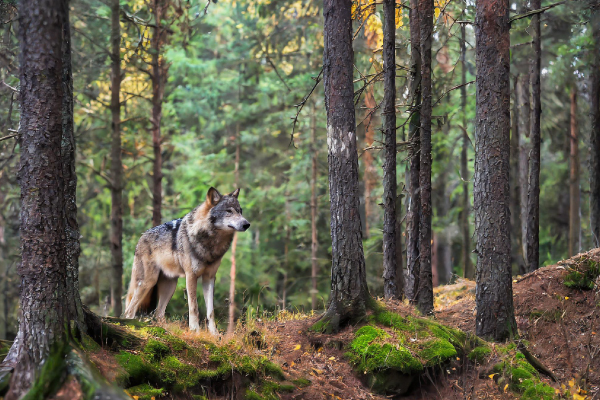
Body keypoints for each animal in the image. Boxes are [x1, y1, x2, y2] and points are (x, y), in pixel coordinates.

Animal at [123, 188, 250, 334]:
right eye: (229, 211)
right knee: (130, 310)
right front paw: (195, 331)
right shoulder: (191, 276)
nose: (247, 224)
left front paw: (214, 334)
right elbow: (194, 307)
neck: (211, 242)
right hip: (148, 282)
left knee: (158, 313)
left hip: (169, 287)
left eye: (240, 211)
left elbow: (210, 311)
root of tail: (141, 237)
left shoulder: (209, 278)